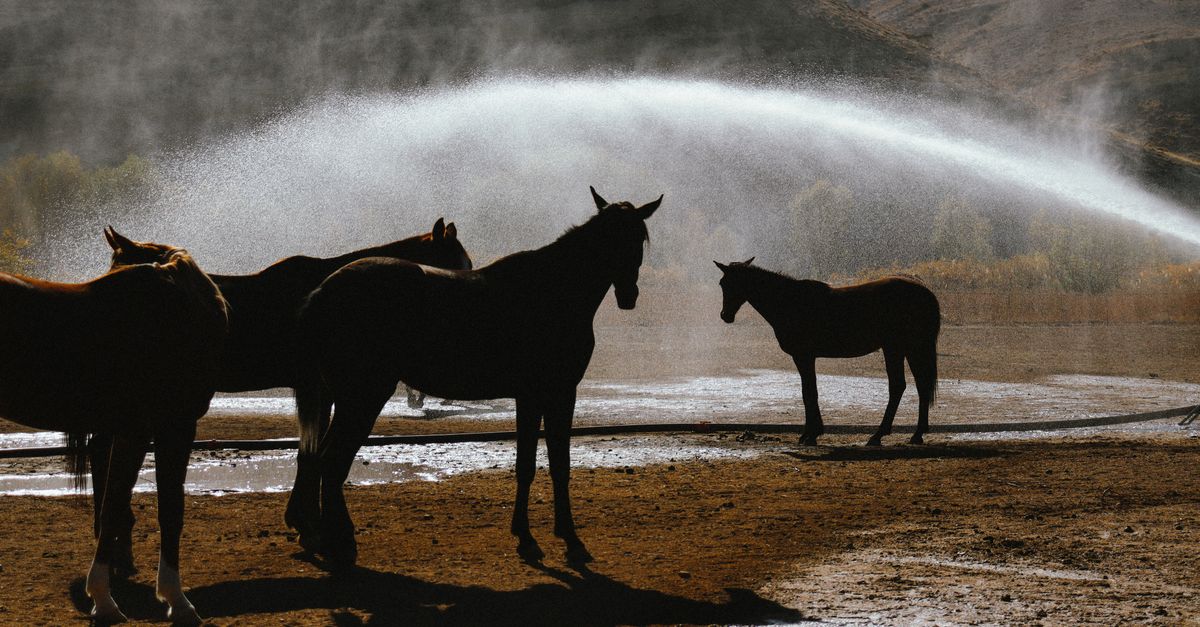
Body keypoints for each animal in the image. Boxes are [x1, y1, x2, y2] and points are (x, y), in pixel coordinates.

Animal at [87, 219, 472, 572]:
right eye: (458, 265)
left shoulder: (317, 391)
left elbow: (309, 453)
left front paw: (305, 524)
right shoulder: (319, 390)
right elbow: (314, 454)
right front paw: (315, 529)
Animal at [291, 187, 662, 567]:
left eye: (637, 238)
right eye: (610, 238)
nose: (629, 295)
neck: (549, 290)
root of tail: (323, 291)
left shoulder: (532, 396)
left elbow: (530, 464)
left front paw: (527, 537)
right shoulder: (556, 393)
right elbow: (556, 464)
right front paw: (568, 540)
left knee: (320, 460)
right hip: (363, 397)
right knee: (332, 463)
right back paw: (340, 544)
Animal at [714, 259, 940, 447]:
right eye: (723, 284)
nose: (725, 315)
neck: (790, 302)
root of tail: (924, 291)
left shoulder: (803, 356)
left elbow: (809, 393)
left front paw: (811, 435)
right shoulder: (806, 357)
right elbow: (808, 391)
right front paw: (810, 433)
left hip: (896, 348)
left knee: (898, 386)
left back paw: (878, 435)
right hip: (908, 348)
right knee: (919, 386)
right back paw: (916, 434)